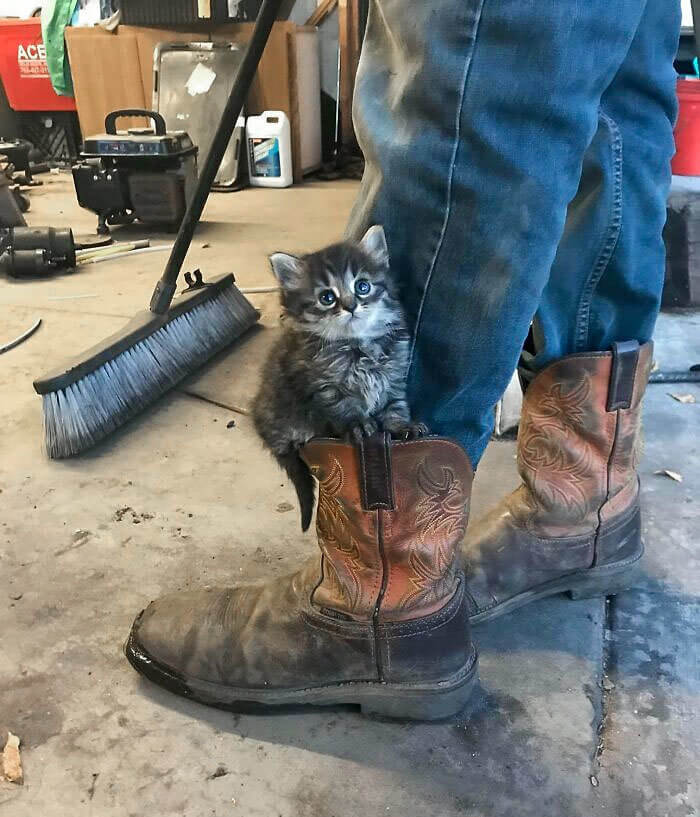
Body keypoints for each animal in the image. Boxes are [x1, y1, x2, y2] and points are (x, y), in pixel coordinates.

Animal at [254, 225, 424, 528]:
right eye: (327, 298)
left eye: (362, 286)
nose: (351, 305)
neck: (359, 344)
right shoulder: (324, 386)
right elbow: (344, 407)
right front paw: (358, 425)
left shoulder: (393, 379)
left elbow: (395, 407)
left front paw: (400, 426)